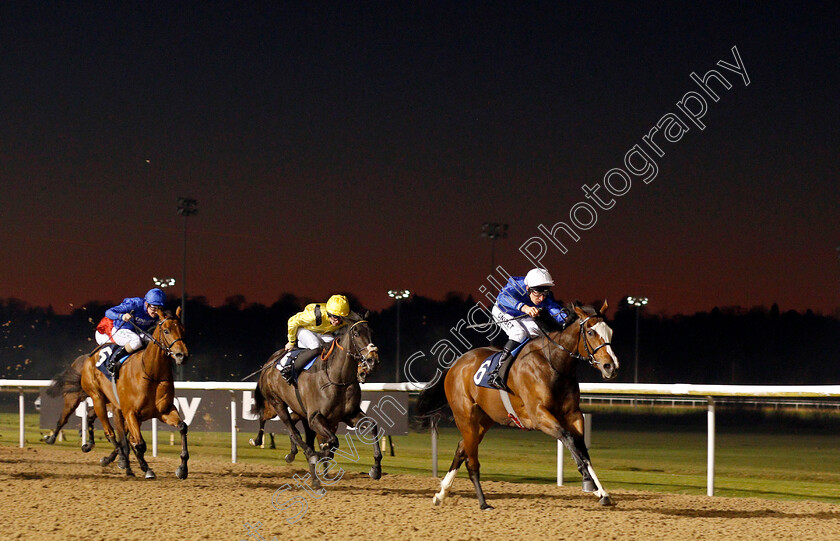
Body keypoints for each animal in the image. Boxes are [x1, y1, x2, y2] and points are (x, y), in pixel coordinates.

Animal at [70, 308, 190, 476]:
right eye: (166, 330)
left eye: (183, 330)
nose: (182, 355)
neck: (151, 374)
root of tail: (90, 356)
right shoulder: (130, 412)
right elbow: (138, 443)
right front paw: (143, 467)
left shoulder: (164, 411)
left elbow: (182, 427)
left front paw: (182, 469)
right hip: (97, 397)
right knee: (110, 433)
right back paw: (121, 459)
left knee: (104, 424)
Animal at [249, 312, 380, 486]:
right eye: (357, 333)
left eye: (371, 331)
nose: (372, 359)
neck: (337, 378)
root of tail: (269, 362)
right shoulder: (315, 418)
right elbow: (332, 441)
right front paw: (319, 452)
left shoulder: (349, 415)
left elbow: (372, 425)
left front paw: (376, 469)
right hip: (276, 403)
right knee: (286, 427)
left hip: (298, 409)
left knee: (290, 424)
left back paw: (292, 453)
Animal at [418, 302, 620, 508]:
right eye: (591, 332)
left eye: (610, 331)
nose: (611, 366)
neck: (553, 363)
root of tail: (455, 364)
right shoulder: (539, 415)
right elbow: (569, 439)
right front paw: (589, 482)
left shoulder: (573, 414)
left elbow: (582, 449)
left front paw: (602, 492)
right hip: (465, 416)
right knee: (471, 460)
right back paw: (483, 503)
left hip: (485, 419)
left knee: (462, 448)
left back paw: (442, 493)